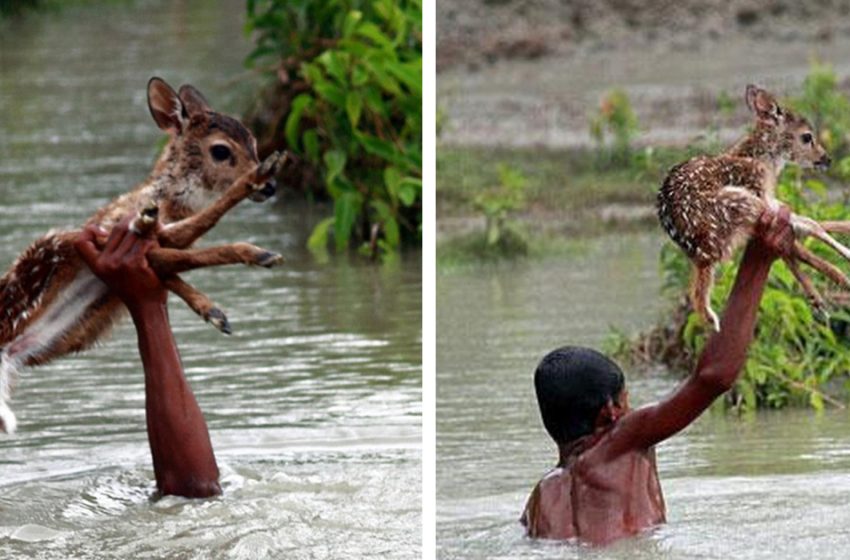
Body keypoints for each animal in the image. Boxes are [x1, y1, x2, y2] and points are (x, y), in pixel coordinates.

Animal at [0, 76, 286, 434]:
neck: (166, 201)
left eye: (253, 141)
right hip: (53, 246)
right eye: (221, 150)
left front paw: (213, 310)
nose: (270, 187)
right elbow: (185, 244)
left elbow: (178, 260)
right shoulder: (106, 233)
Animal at [664, 86, 848, 332]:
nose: (827, 159)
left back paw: (819, 298)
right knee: (791, 240)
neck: (762, 161)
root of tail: (703, 251)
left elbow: (809, 223)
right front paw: (845, 254)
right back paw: (838, 280)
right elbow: (810, 224)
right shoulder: (760, 193)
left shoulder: (770, 200)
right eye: (807, 136)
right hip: (739, 202)